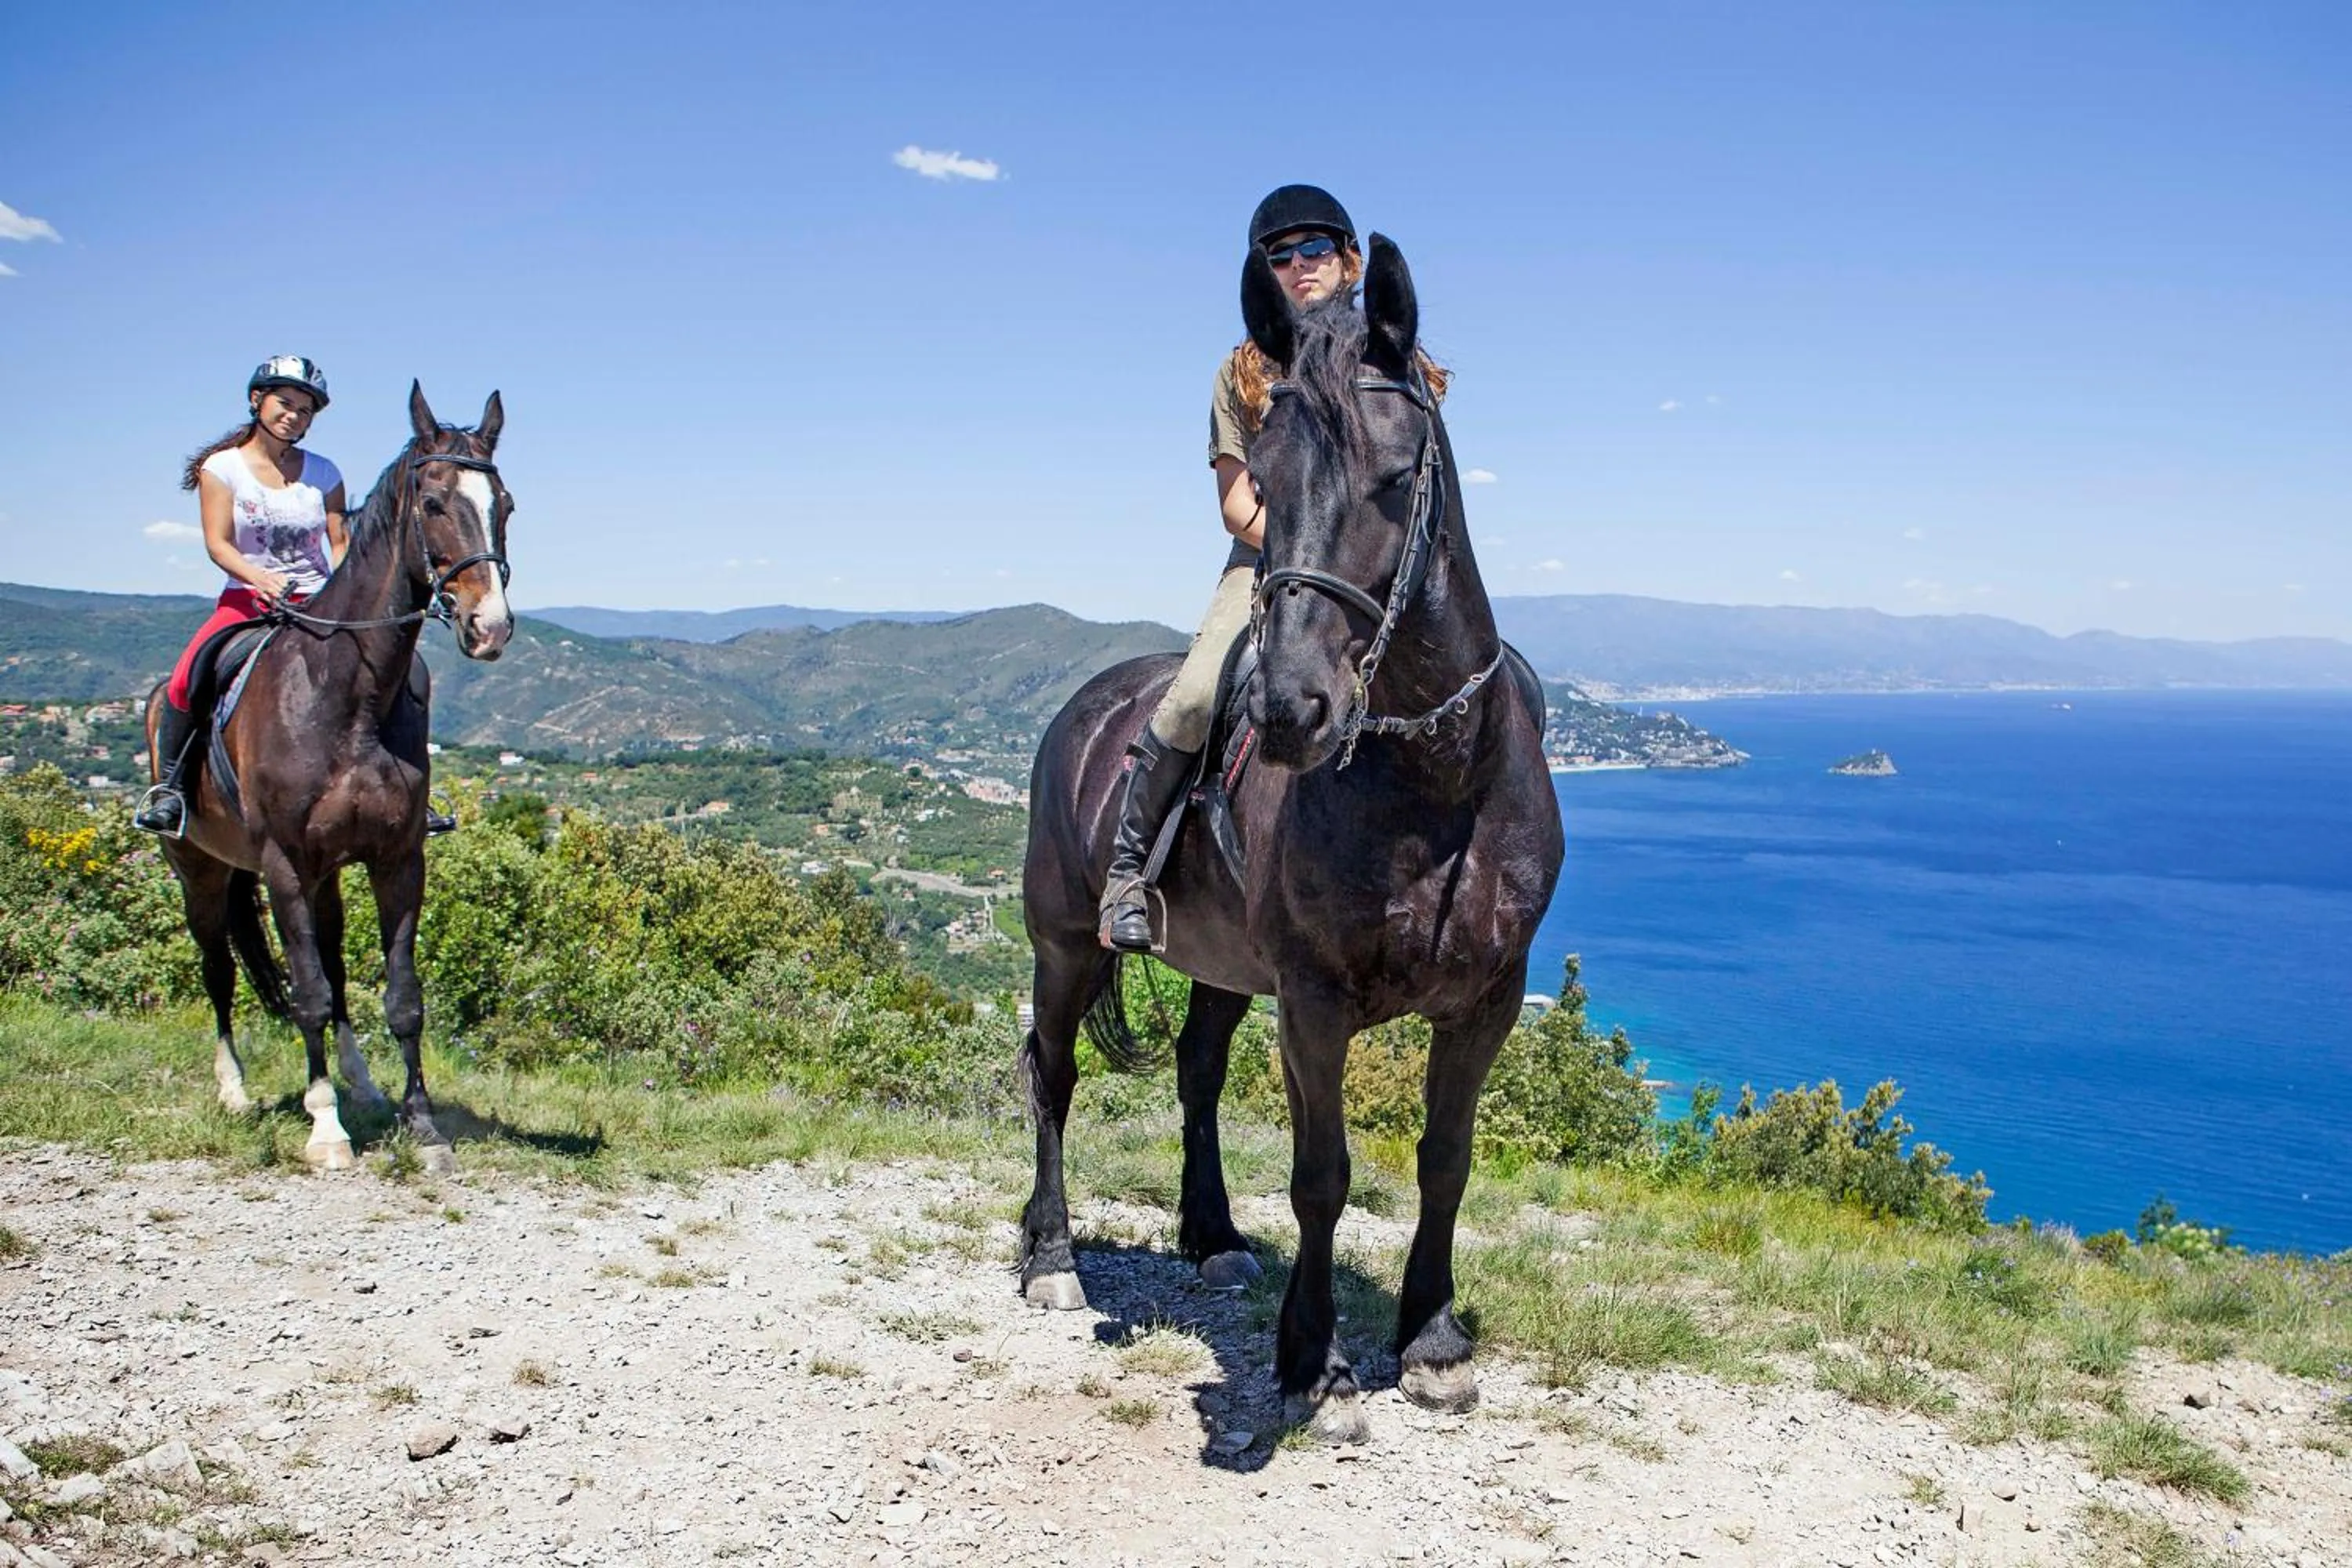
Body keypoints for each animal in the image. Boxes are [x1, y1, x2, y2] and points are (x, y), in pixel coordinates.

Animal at [143, 383, 515, 1175]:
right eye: (432, 502)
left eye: (504, 503)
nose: (489, 627)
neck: (347, 695)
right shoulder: (283, 864)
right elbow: (305, 992)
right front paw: (325, 1127)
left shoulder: (398, 858)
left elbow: (400, 995)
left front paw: (420, 1123)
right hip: (200, 868)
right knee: (220, 969)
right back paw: (235, 1089)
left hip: (326, 876)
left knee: (338, 968)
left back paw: (361, 1084)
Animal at [1017, 236, 1564, 1444]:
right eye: (1261, 482)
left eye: (1399, 477)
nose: (1288, 708)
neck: (1434, 783)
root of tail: (1082, 711)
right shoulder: (1315, 1002)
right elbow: (1324, 1174)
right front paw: (1316, 1365)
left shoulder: (1488, 1000)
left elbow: (1446, 1161)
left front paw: (1432, 1340)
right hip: (1065, 946)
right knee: (1055, 1073)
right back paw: (1052, 1255)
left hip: (1224, 966)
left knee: (1196, 1069)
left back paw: (1213, 1237)